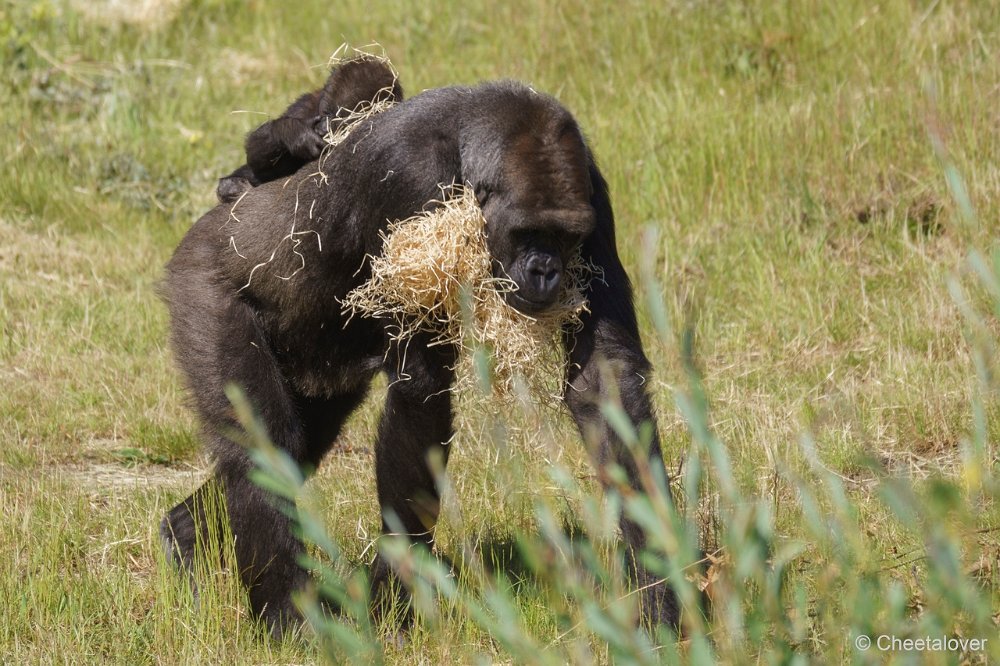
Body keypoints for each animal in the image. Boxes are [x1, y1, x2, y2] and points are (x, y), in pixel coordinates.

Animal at [162, 78, 680, 632]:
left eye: (566, 236)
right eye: (528, 233)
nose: (547, 272)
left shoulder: (593, 191)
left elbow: (604, 384)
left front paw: (660, 591)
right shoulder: (412, 183)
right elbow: (420, 388)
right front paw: (395, 587)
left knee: (300, 439)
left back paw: (184, 536)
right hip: (202, 283)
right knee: (264, 442)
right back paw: (288, 618)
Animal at [217, 55, 404, 202]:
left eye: (343, 120)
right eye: (326, 112)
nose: (322, 129)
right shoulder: (306, 104)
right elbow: (258, 162)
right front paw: (293, 133)